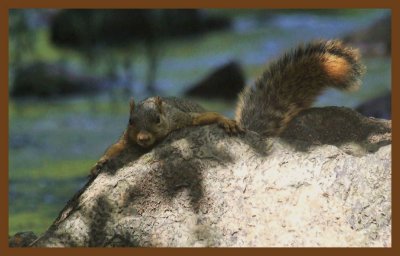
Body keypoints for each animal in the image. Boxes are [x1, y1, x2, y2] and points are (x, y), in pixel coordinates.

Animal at [90, 40, 366, 176]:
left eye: (158, 119)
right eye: (130, 121)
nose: (143, 138)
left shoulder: (182, 117)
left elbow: (207, 116)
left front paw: (226, 122)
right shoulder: (126, 137)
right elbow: (115, 147)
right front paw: (100, 163)